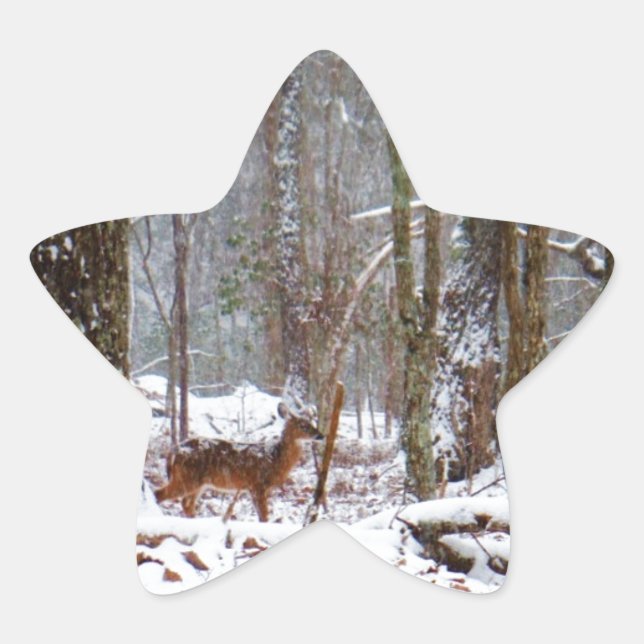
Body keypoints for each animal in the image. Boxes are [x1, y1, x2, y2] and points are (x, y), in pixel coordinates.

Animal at [154, 402, 321, 522]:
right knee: (159, 494)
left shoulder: (253, 488)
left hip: (198, 483)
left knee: (186, 504)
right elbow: (264, 516)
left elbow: (261, 515)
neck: (275, 457)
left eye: (313, 423)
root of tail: (174, 451)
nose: (320, 435)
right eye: (303, 426)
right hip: (187, 478)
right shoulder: (258, 484)